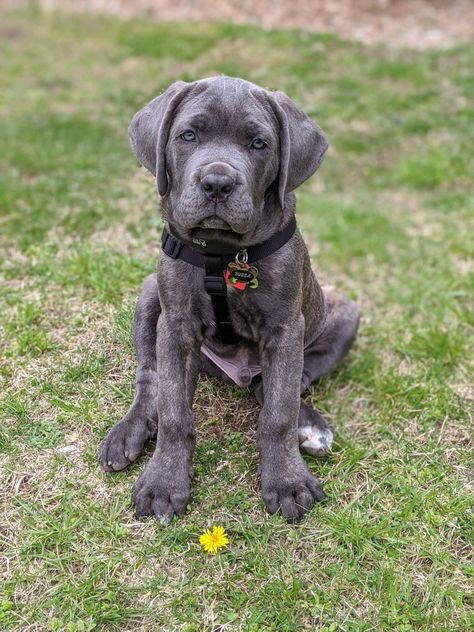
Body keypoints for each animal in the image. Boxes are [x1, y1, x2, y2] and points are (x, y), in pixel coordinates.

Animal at [100, 74, 360, 520]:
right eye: (187, 135)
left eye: (259, 143)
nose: (217, 183)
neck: (223, 254)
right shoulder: (177, 327)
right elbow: (173, 411)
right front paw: (164, 482)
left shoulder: (284, 329)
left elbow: (279, 412)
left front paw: (286, 481)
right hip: (151, 295)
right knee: (149, 378)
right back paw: (130, 431)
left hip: (343, 311)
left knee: (282, 385)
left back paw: (309, 426)